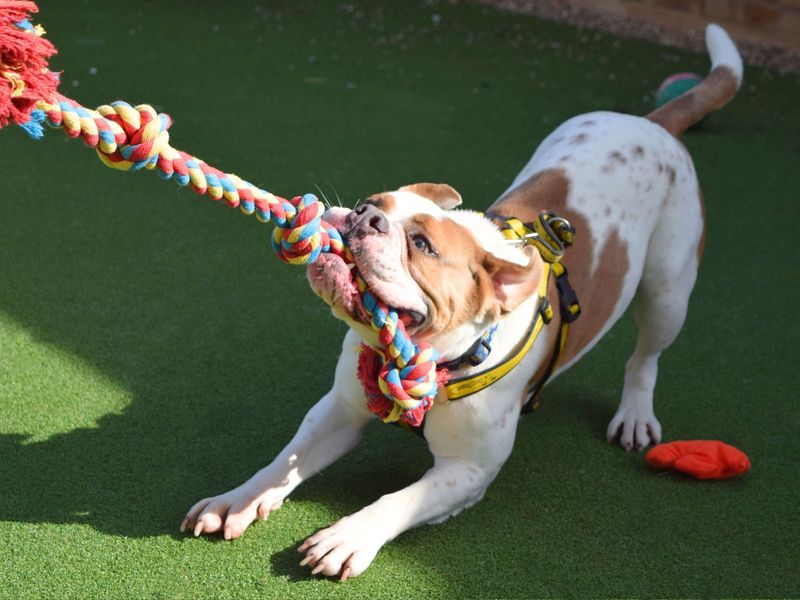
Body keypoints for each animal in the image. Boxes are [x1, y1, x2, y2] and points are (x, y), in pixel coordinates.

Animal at [181, 24, 744, 580]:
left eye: (423, 245)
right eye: (370, 201)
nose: (364, 216)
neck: (424, 355)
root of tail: (651, 123)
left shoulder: (466, 470)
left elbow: (398, 500)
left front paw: (349, 536)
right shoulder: (338, 411)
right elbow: (285, 460)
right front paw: (238, 499)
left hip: (668, 291)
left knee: (645, 357)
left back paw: (634, 413)